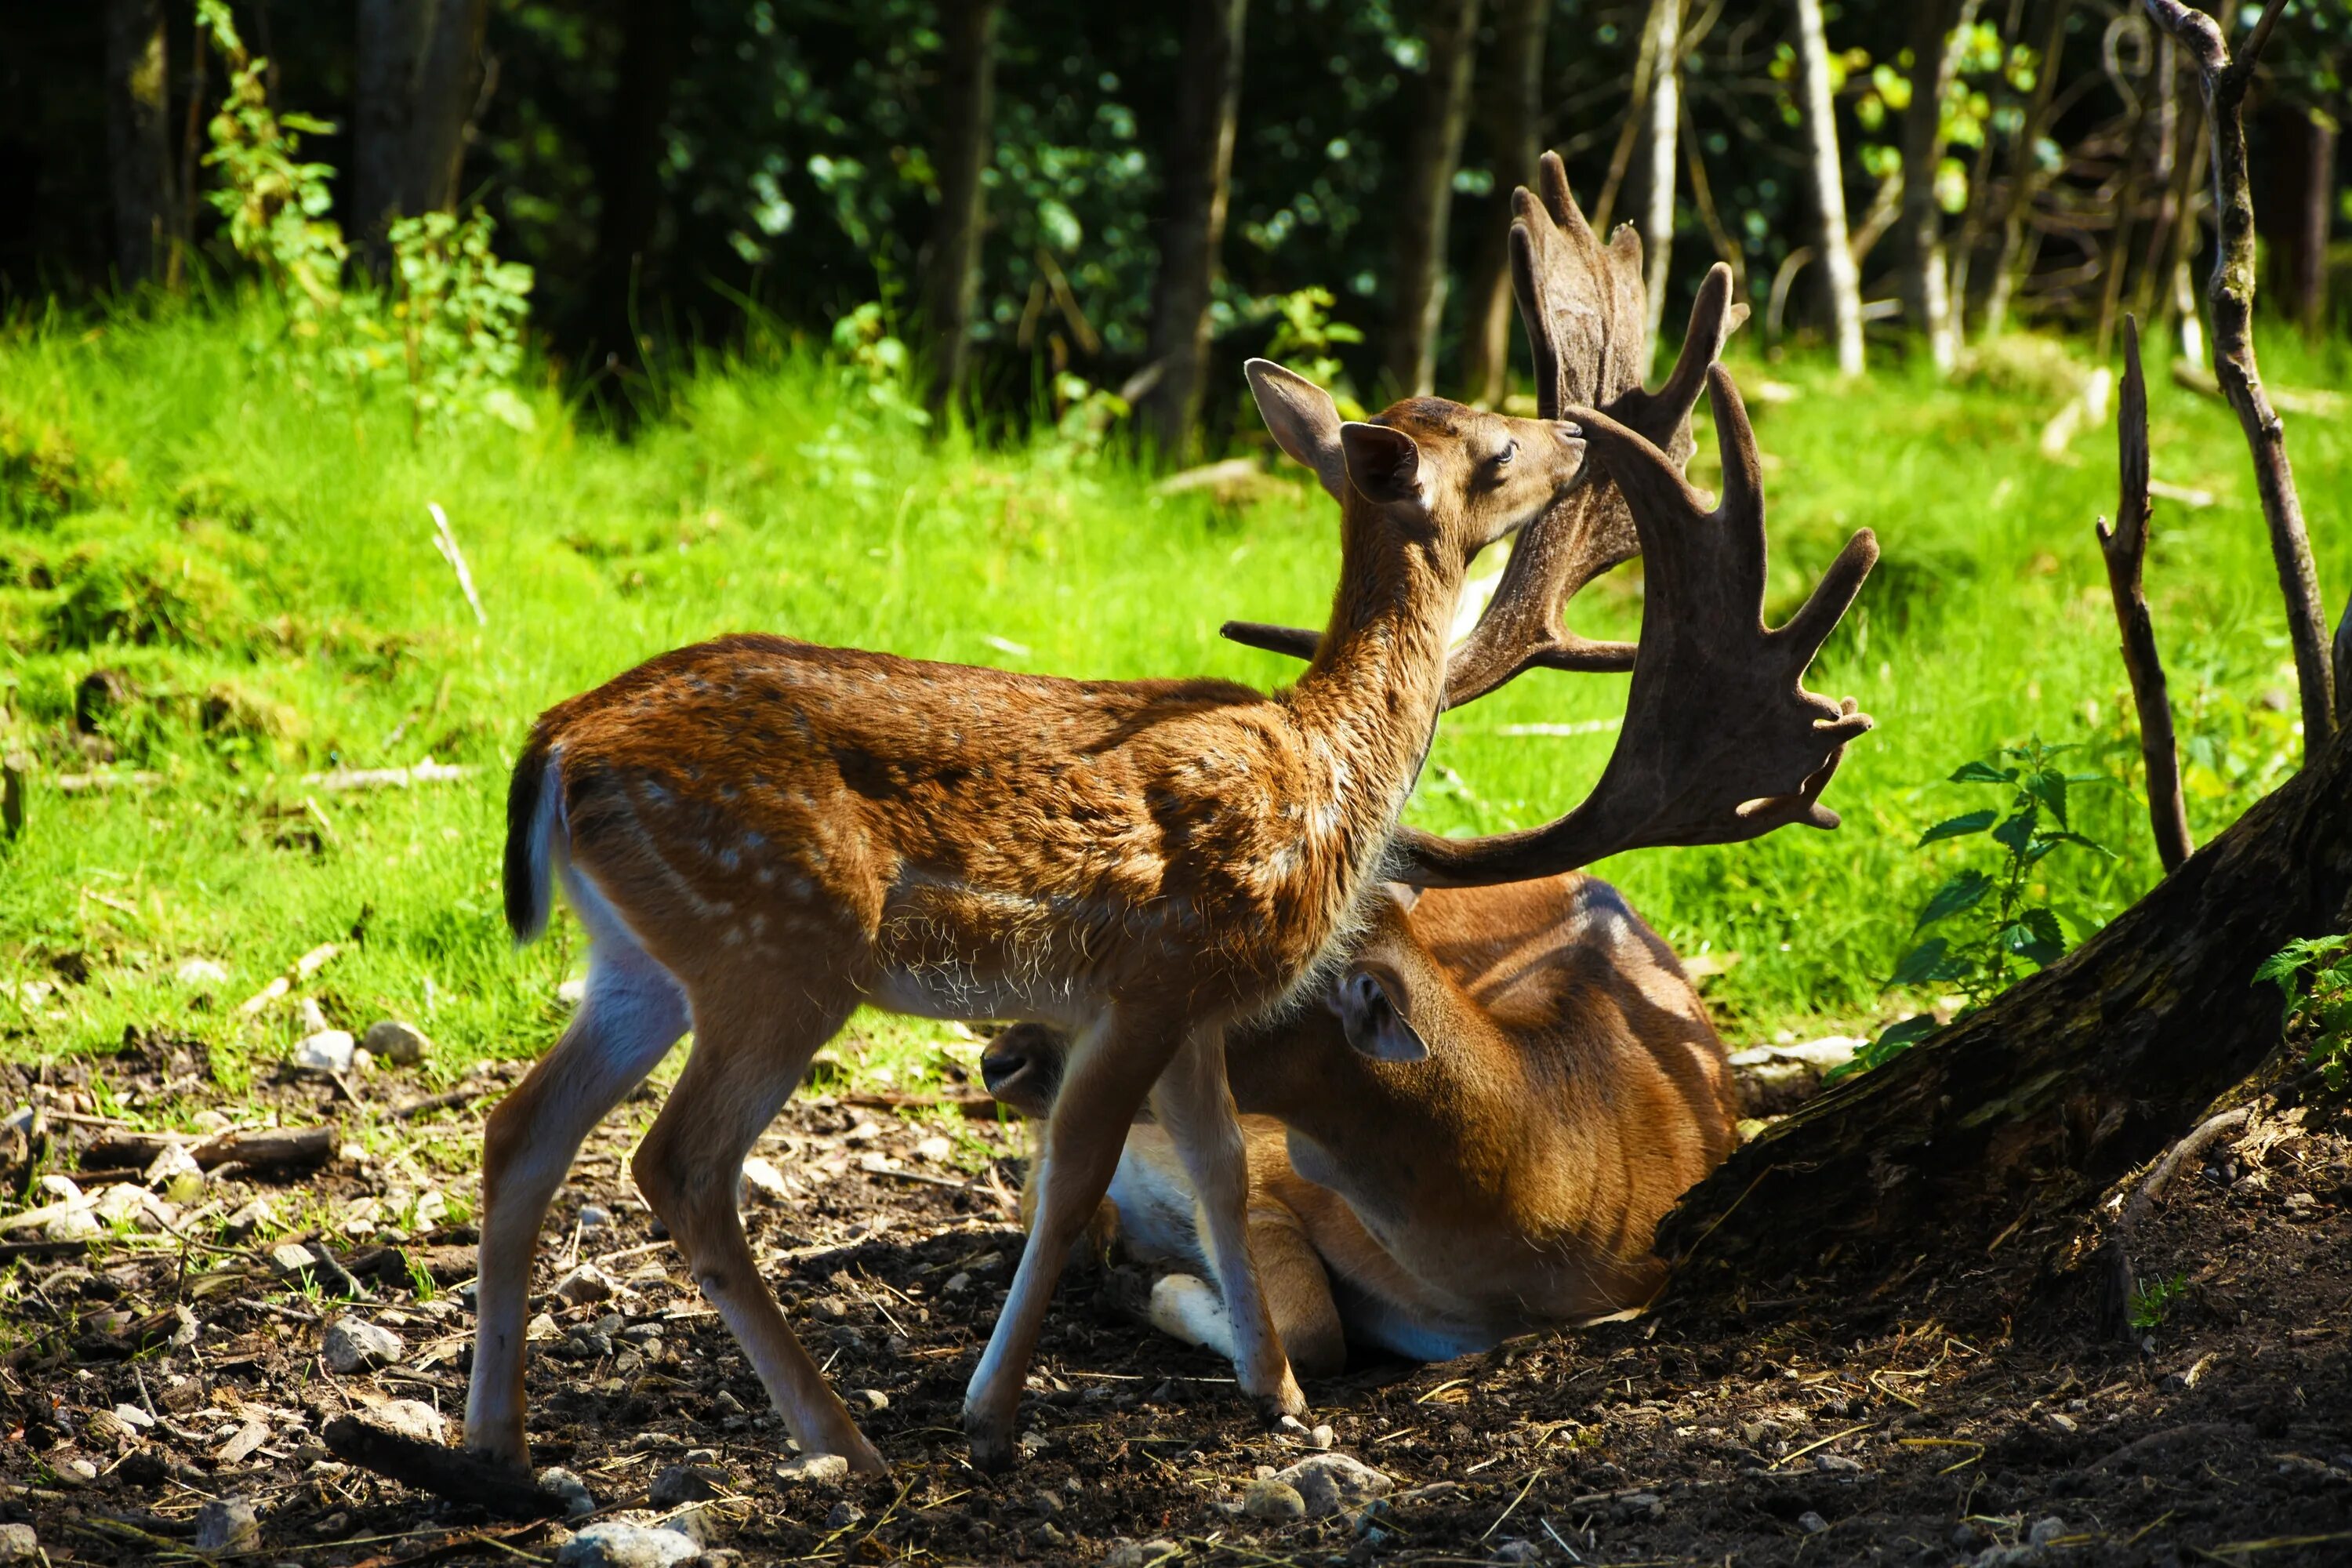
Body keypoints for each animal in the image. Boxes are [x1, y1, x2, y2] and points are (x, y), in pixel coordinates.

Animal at [983, 869, 1740, 1373]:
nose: (1001, 1059)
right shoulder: (1266, 1169)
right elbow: (1312, 1332)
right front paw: (1154, 1281)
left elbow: (1313, 1335)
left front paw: (1152, 1281)